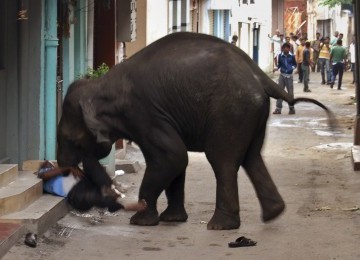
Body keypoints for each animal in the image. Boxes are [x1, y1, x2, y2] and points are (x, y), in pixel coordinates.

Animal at [56, 32, 334, 230]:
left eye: (69, 140)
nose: (63, 167)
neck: (103, 85)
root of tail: (260, 76)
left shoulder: (144, 114)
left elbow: (172, 157)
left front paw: (141, 221)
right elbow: (175, 162)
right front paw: (172, 220)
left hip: (231, 110)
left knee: (223, 161)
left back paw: (220, 226)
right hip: (252, 112)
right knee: (252, 158)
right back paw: (273, 214)